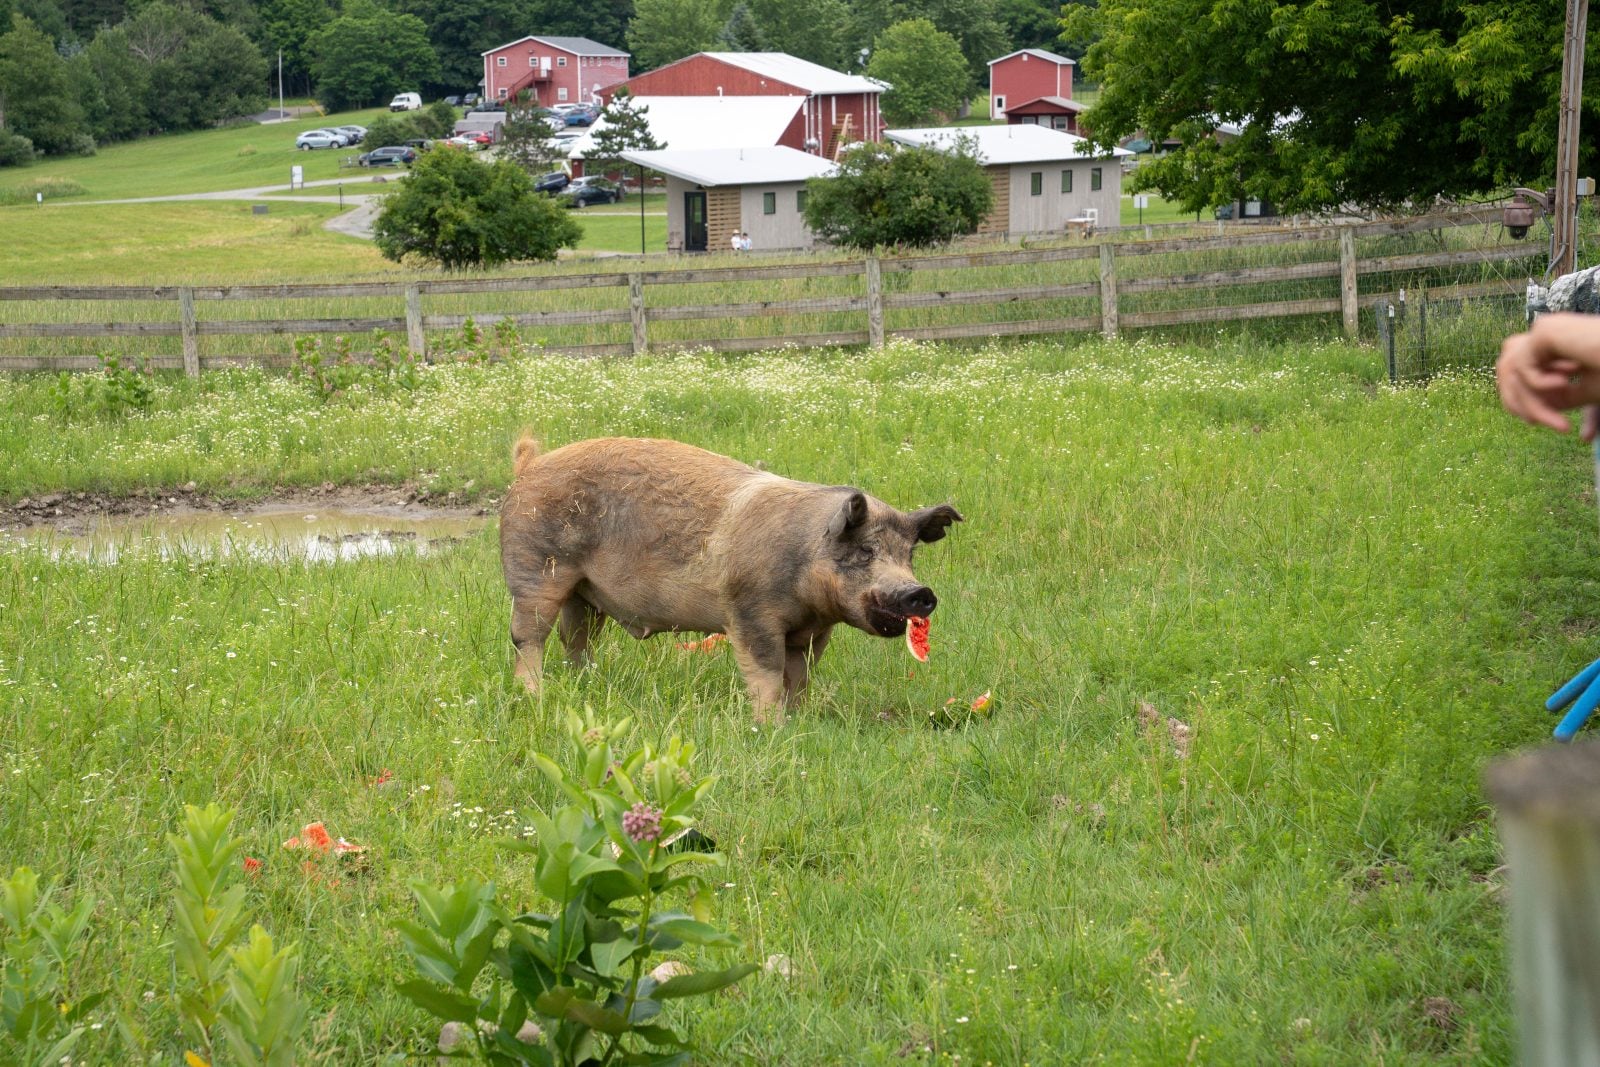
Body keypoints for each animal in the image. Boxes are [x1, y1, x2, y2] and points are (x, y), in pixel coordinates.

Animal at [499, 436, 962, 721]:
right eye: (865, 551)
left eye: (908, 555)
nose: (919, 592)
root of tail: (529, 466)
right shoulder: (750, 611)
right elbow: (766, 671)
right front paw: (770, 726)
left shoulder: (814, 630)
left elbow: (800, 675)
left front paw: (799, 719)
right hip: (534, 571)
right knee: (528, 636)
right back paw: (533, 696)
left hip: (584, 594)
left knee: (575, 638)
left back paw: (586, 682)